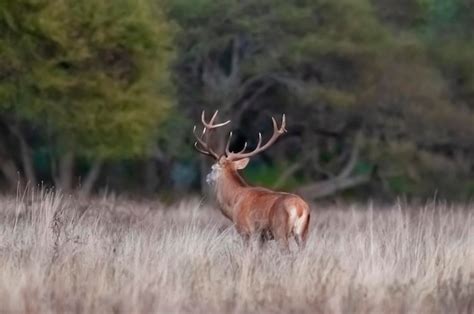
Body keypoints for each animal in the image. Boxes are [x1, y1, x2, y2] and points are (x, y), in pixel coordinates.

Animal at [193, 110, 312, 250]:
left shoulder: (245, 230)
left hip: (280, 231)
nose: (207, 178)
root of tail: (301, 208)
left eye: (213, 168)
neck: (233, 204)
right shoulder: (262, 237)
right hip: (303, 233)